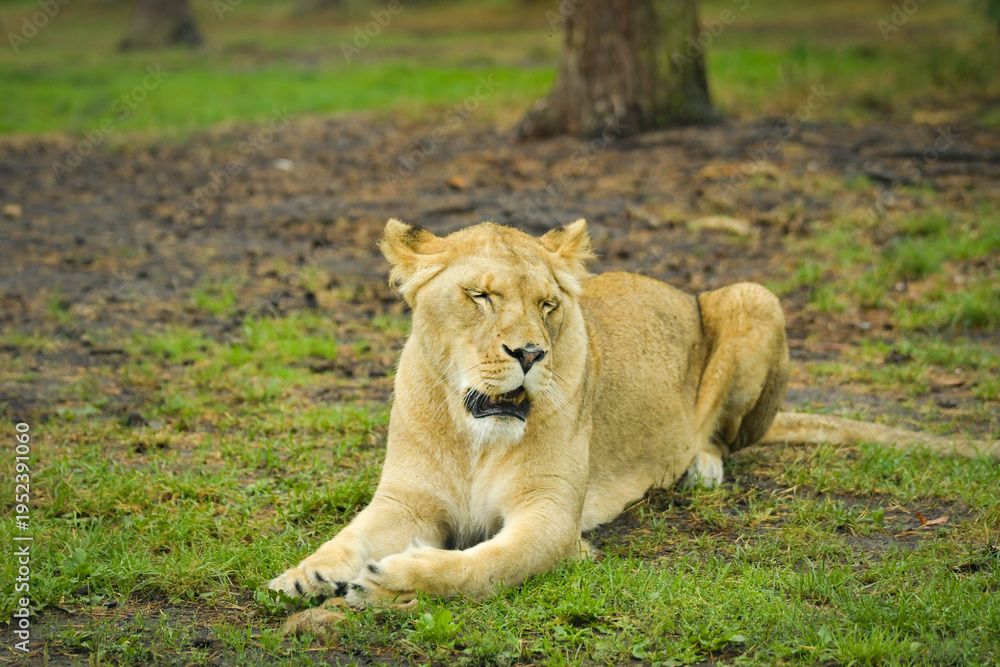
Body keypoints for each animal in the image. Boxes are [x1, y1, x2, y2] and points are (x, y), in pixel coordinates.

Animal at [269, 218, 998, 609]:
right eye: (481, 296)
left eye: (549, 305)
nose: (530, 352)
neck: (474, 433)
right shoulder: (406, 499)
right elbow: (349, 535)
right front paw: (305, 574)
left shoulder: (552, 521)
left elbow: (481, 566)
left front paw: (393, 581)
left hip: (753, 295)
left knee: (726, 439)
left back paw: (700, 467)